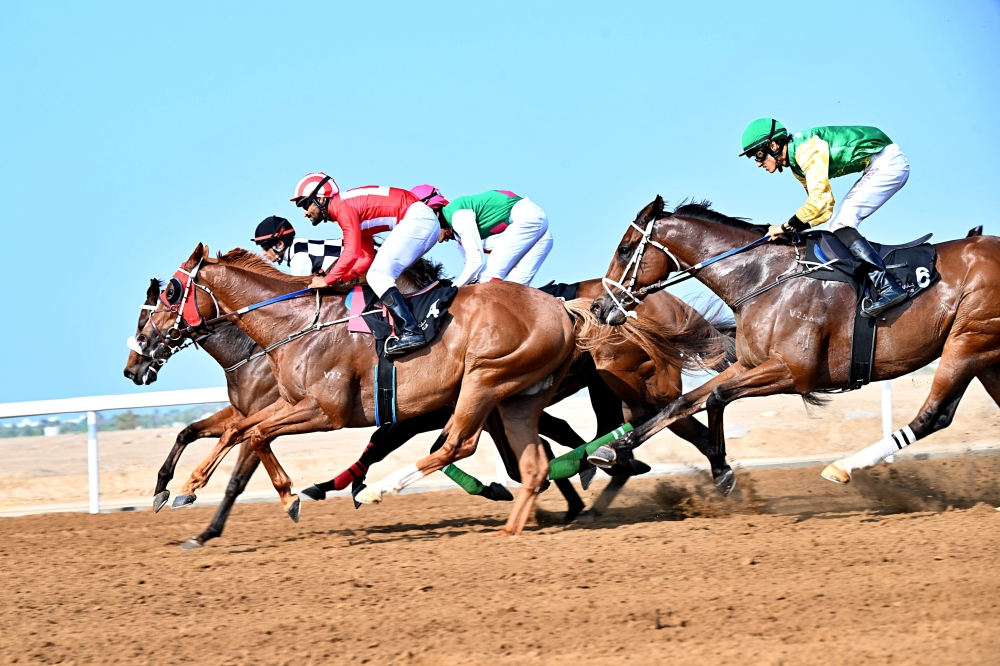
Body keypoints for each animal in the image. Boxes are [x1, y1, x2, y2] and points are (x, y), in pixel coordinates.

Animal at [590, 196, 1000, 484]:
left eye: (624, 249)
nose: (598, 307)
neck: (763, 279)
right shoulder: (750, 364)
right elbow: (685, 402)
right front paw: (614, 448)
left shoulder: (794, 372)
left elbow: (717, 397)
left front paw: (722, 468)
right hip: (984, 355)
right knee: (943, 414)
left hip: (968, 342)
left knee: (931, 416)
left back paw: (842, 466)